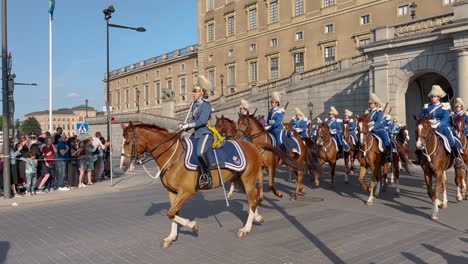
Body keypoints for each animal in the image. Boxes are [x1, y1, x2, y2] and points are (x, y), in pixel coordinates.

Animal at [119, 121, 266, 248]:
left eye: (127, 142)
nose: (122, 166)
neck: (172, 157)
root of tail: (252, 146)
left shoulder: (186, 191)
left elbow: (171, 213)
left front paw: (192, 225)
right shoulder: (172, 192)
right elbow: (172, 213)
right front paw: (171, 237)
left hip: (248, 179)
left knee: (252, 199)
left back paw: (246, 228)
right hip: (239, 180)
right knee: (252, 198)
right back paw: (257, 217)